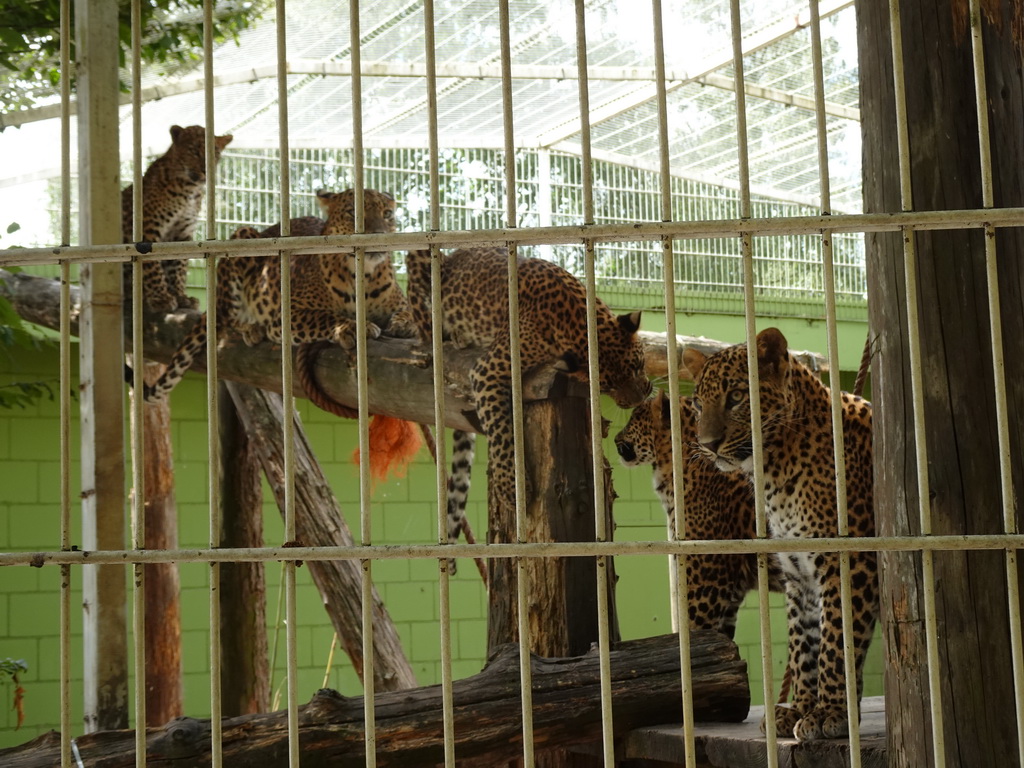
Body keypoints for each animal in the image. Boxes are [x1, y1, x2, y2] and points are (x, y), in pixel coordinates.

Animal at [121, 124, 232, 311]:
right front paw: (161, 298)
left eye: (215, 152)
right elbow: (152, 266)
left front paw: (181, 296)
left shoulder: (182, 233)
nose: (205, 170)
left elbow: (178, 267)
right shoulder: (149, 228)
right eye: (194, 150)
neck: (189, 190)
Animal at [145, 189, 415, 403]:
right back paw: (251, 327)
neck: (365, 275)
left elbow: (408, 310)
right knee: (228, 317)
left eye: (387, 214)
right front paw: (352, 327)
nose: (379, 233)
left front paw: (404, 324)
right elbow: (325, 316)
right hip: (242, 240)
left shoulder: (399, 302)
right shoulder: (288, 315)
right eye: (352, 213)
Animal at [403, 246, 651, 565]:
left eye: (638, 366)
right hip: (420, 258)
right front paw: (513, 489)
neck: (574, 315)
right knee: (422, 318)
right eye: (606, 386)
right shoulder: (486, 371)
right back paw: (445, 333)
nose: (640, 398)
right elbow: (500, 430)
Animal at [684, 327, 876, 741]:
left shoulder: (847, 563)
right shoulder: (799, 572)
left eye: (736, 397)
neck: (772, 470)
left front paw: (831, 712)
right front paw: (801, 708)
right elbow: (804, 644)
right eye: (698, 404)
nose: (707, 445)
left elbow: (836, 641)